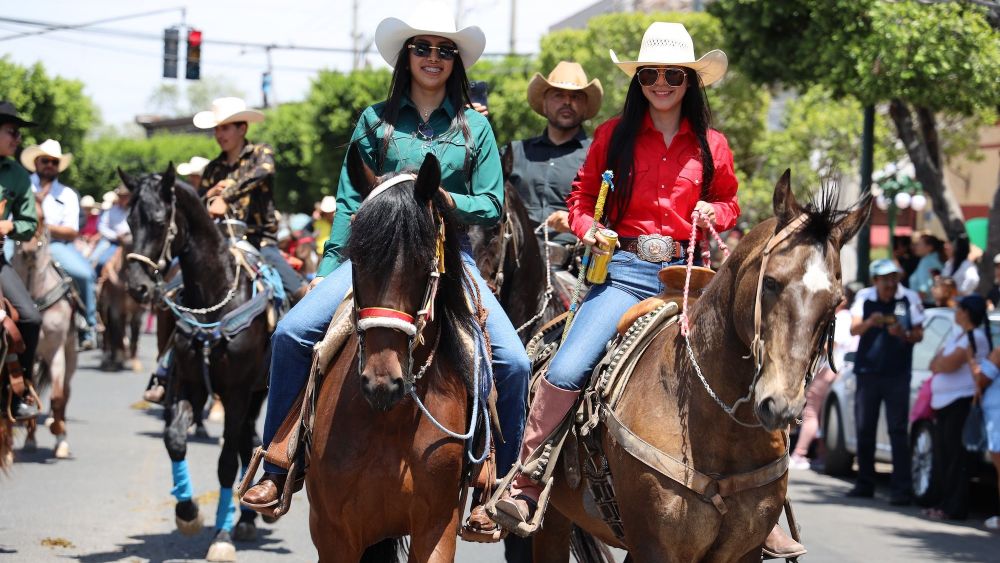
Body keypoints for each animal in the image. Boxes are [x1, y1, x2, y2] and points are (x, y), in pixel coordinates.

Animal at [124, 165, 274, 560]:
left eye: (159, 221)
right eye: (129, 220)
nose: (136, 287)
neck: (215, 297)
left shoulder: (236, 393)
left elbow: (225, 463)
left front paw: (221, 536)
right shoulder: (189, 386)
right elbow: (174, 439)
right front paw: (187, 512)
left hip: (256, 392)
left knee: (246, 444)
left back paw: (244, 521)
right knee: (248, 442)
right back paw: (247, 519)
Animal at [304, 150, 492, 563]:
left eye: (424, 264)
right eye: (356, 259)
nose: (382, 382)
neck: (391, 420)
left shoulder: (437, 528)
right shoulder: (333, 533)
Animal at [524, 173, 868, 563]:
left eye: (836, 301)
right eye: (770, 282)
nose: (781, 404)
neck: (717, 425)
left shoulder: (744, 551)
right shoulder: (655, 546)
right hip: (553, 518)